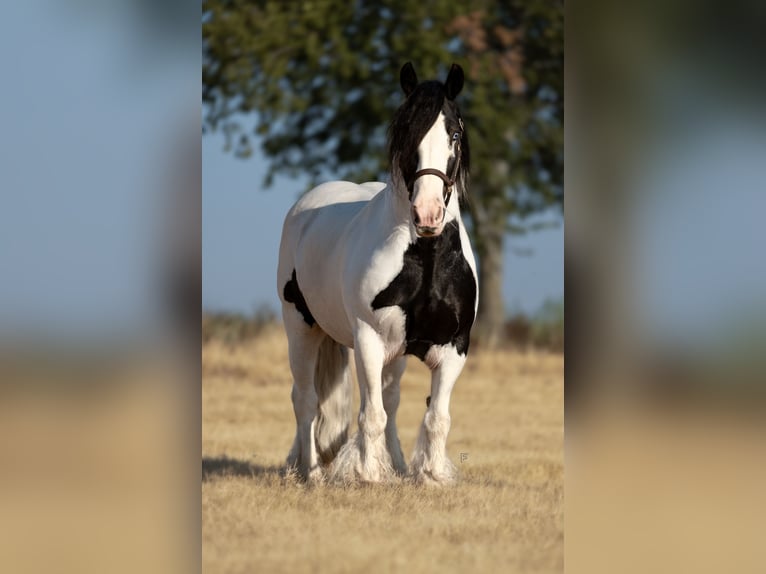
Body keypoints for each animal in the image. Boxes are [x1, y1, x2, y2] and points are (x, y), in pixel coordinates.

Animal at [277, 62, 477, 485]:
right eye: (406, 132)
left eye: (454, 133)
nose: (428, 214)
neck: (426, 259)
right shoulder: (368, 340)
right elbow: (371, 415)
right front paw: (368, 475)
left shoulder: (455, 347)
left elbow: (436, 417)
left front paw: (430, 476)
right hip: (300, 328)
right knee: (306, 401)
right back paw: (311, 472)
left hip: (394, 355)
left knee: (391, 400)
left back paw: (397, 466)